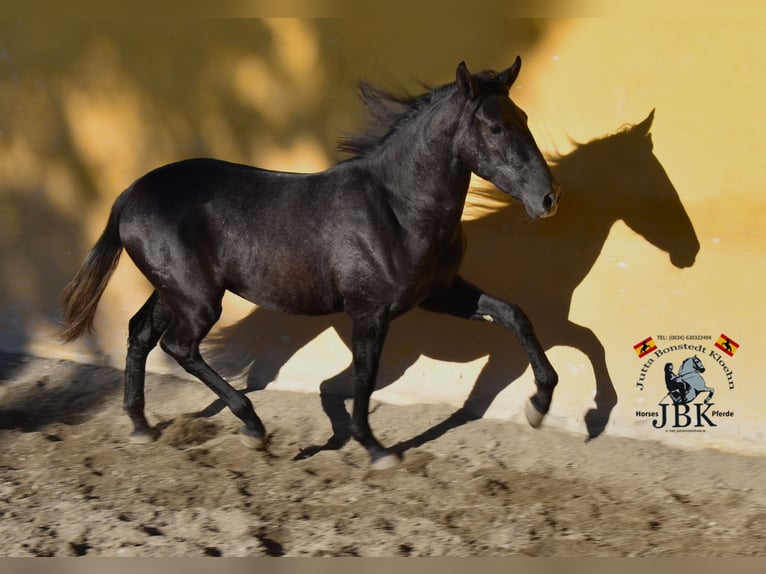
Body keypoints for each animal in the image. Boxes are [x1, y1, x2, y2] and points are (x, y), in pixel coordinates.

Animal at [60, 58, 560, 470]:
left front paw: (538, 405)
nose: (548, 198)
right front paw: (376, 449)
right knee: (179, 347)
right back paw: (253, 428)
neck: (397, 208)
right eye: (494, 127)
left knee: (141, 334)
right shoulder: (370, 312)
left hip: (173, 292)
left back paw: (141, 426)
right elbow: (363, 377)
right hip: (197, 299)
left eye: (524, 118)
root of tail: (130, 193)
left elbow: (515, 315)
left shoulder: (440, 292)